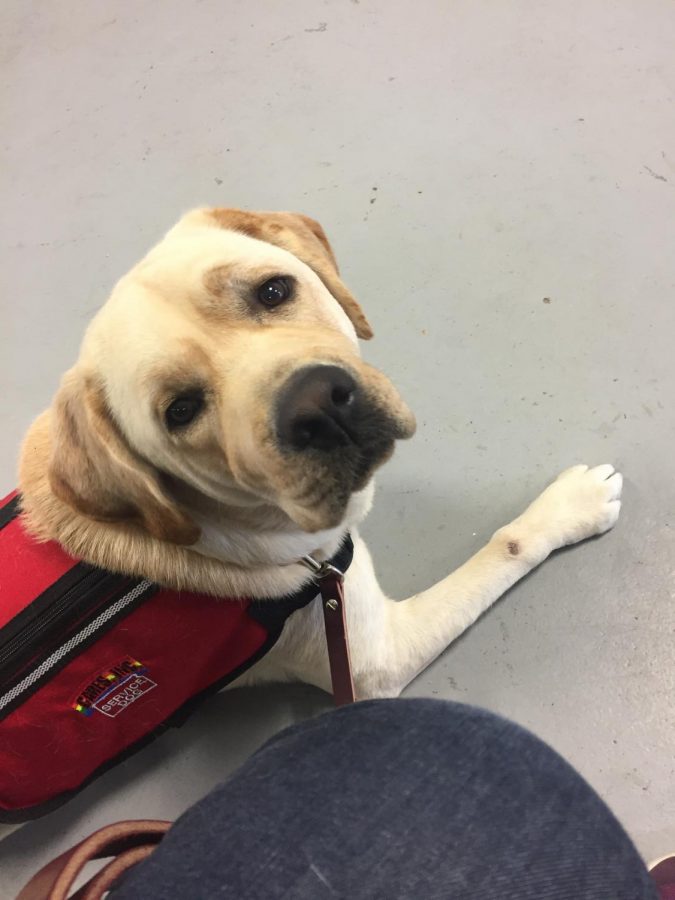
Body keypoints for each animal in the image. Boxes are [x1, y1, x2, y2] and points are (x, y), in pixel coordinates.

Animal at [18, 209, 624, 696]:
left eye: (273, 291)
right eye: (181, 410)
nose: (317, 407)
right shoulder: (373, 660)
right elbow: (509, 544)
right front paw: (572, 506)